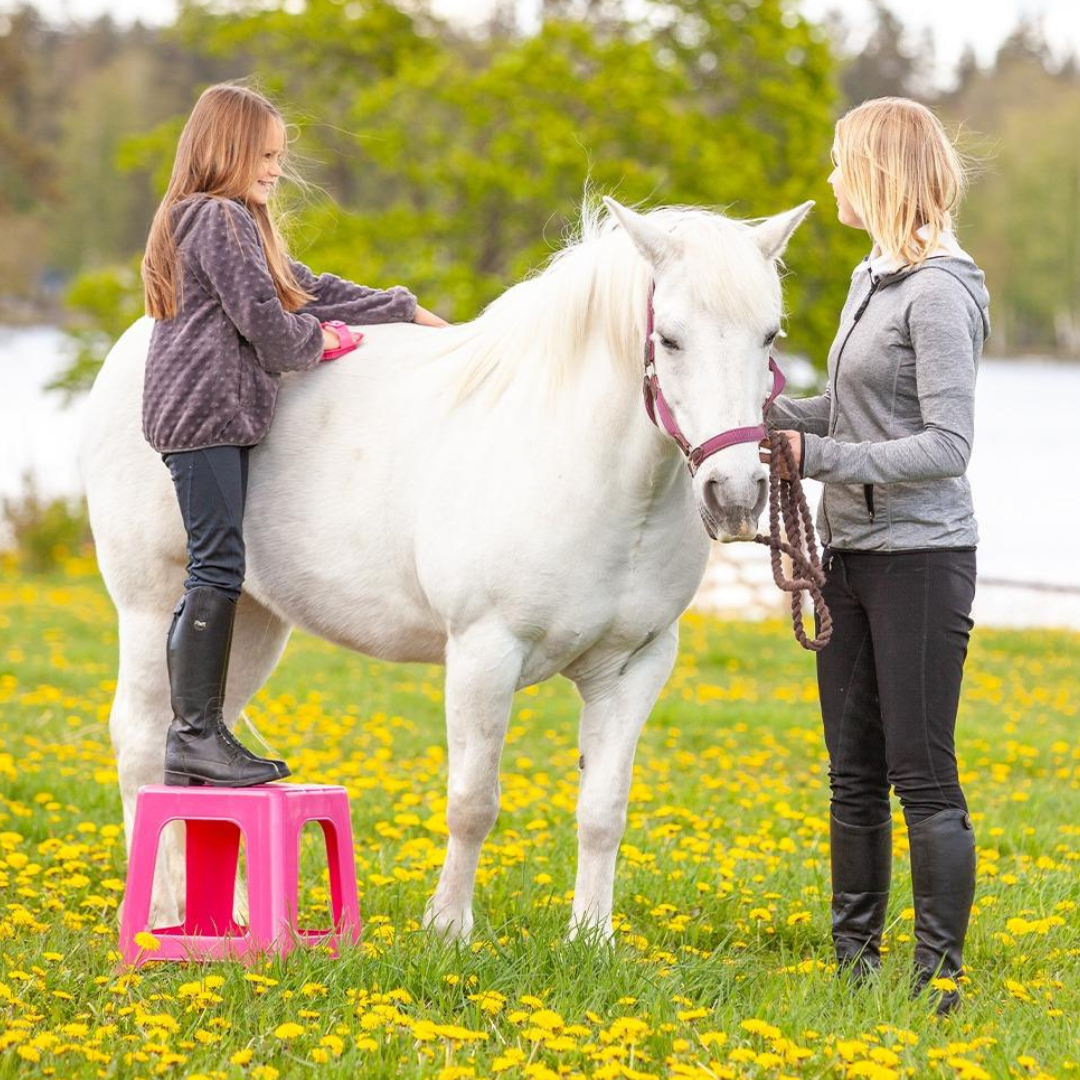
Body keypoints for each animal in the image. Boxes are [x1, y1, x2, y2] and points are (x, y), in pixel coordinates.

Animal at [82, 198, 812, 941]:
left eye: (769, 335)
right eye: (668, 339)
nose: (735, 494)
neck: (578, 466)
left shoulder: (636, 666)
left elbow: (603, 810)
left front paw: (592, 936)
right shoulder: (485, 653)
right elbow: (473, 801)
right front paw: (449, 929)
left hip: (252, 619)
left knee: (207, 741)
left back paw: (222, 917)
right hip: (152, 606)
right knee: (140, 742)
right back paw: (160, 914)